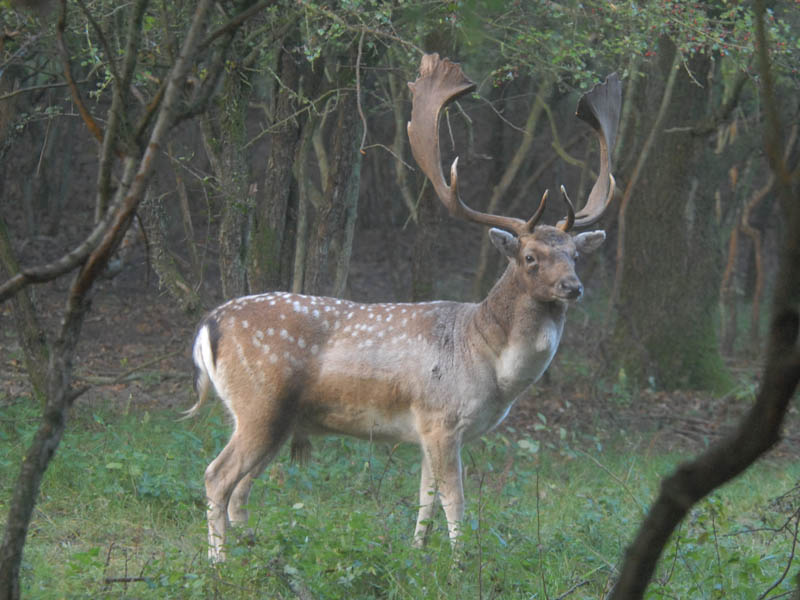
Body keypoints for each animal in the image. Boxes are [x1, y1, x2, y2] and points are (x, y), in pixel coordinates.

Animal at [189, 54, 624, 560]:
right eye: (530, 257)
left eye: (574, 254)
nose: (573, 287)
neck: (489, 362)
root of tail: (208, 324)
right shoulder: (441, 418)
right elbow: (455, 500)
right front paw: (460, 562)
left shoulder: (425, 431)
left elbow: (426, 500)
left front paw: (418, 554)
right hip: (260, 403)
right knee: (216, 477)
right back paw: (218, 562)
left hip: (274, 419)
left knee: (239, 488)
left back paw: (253, 548)